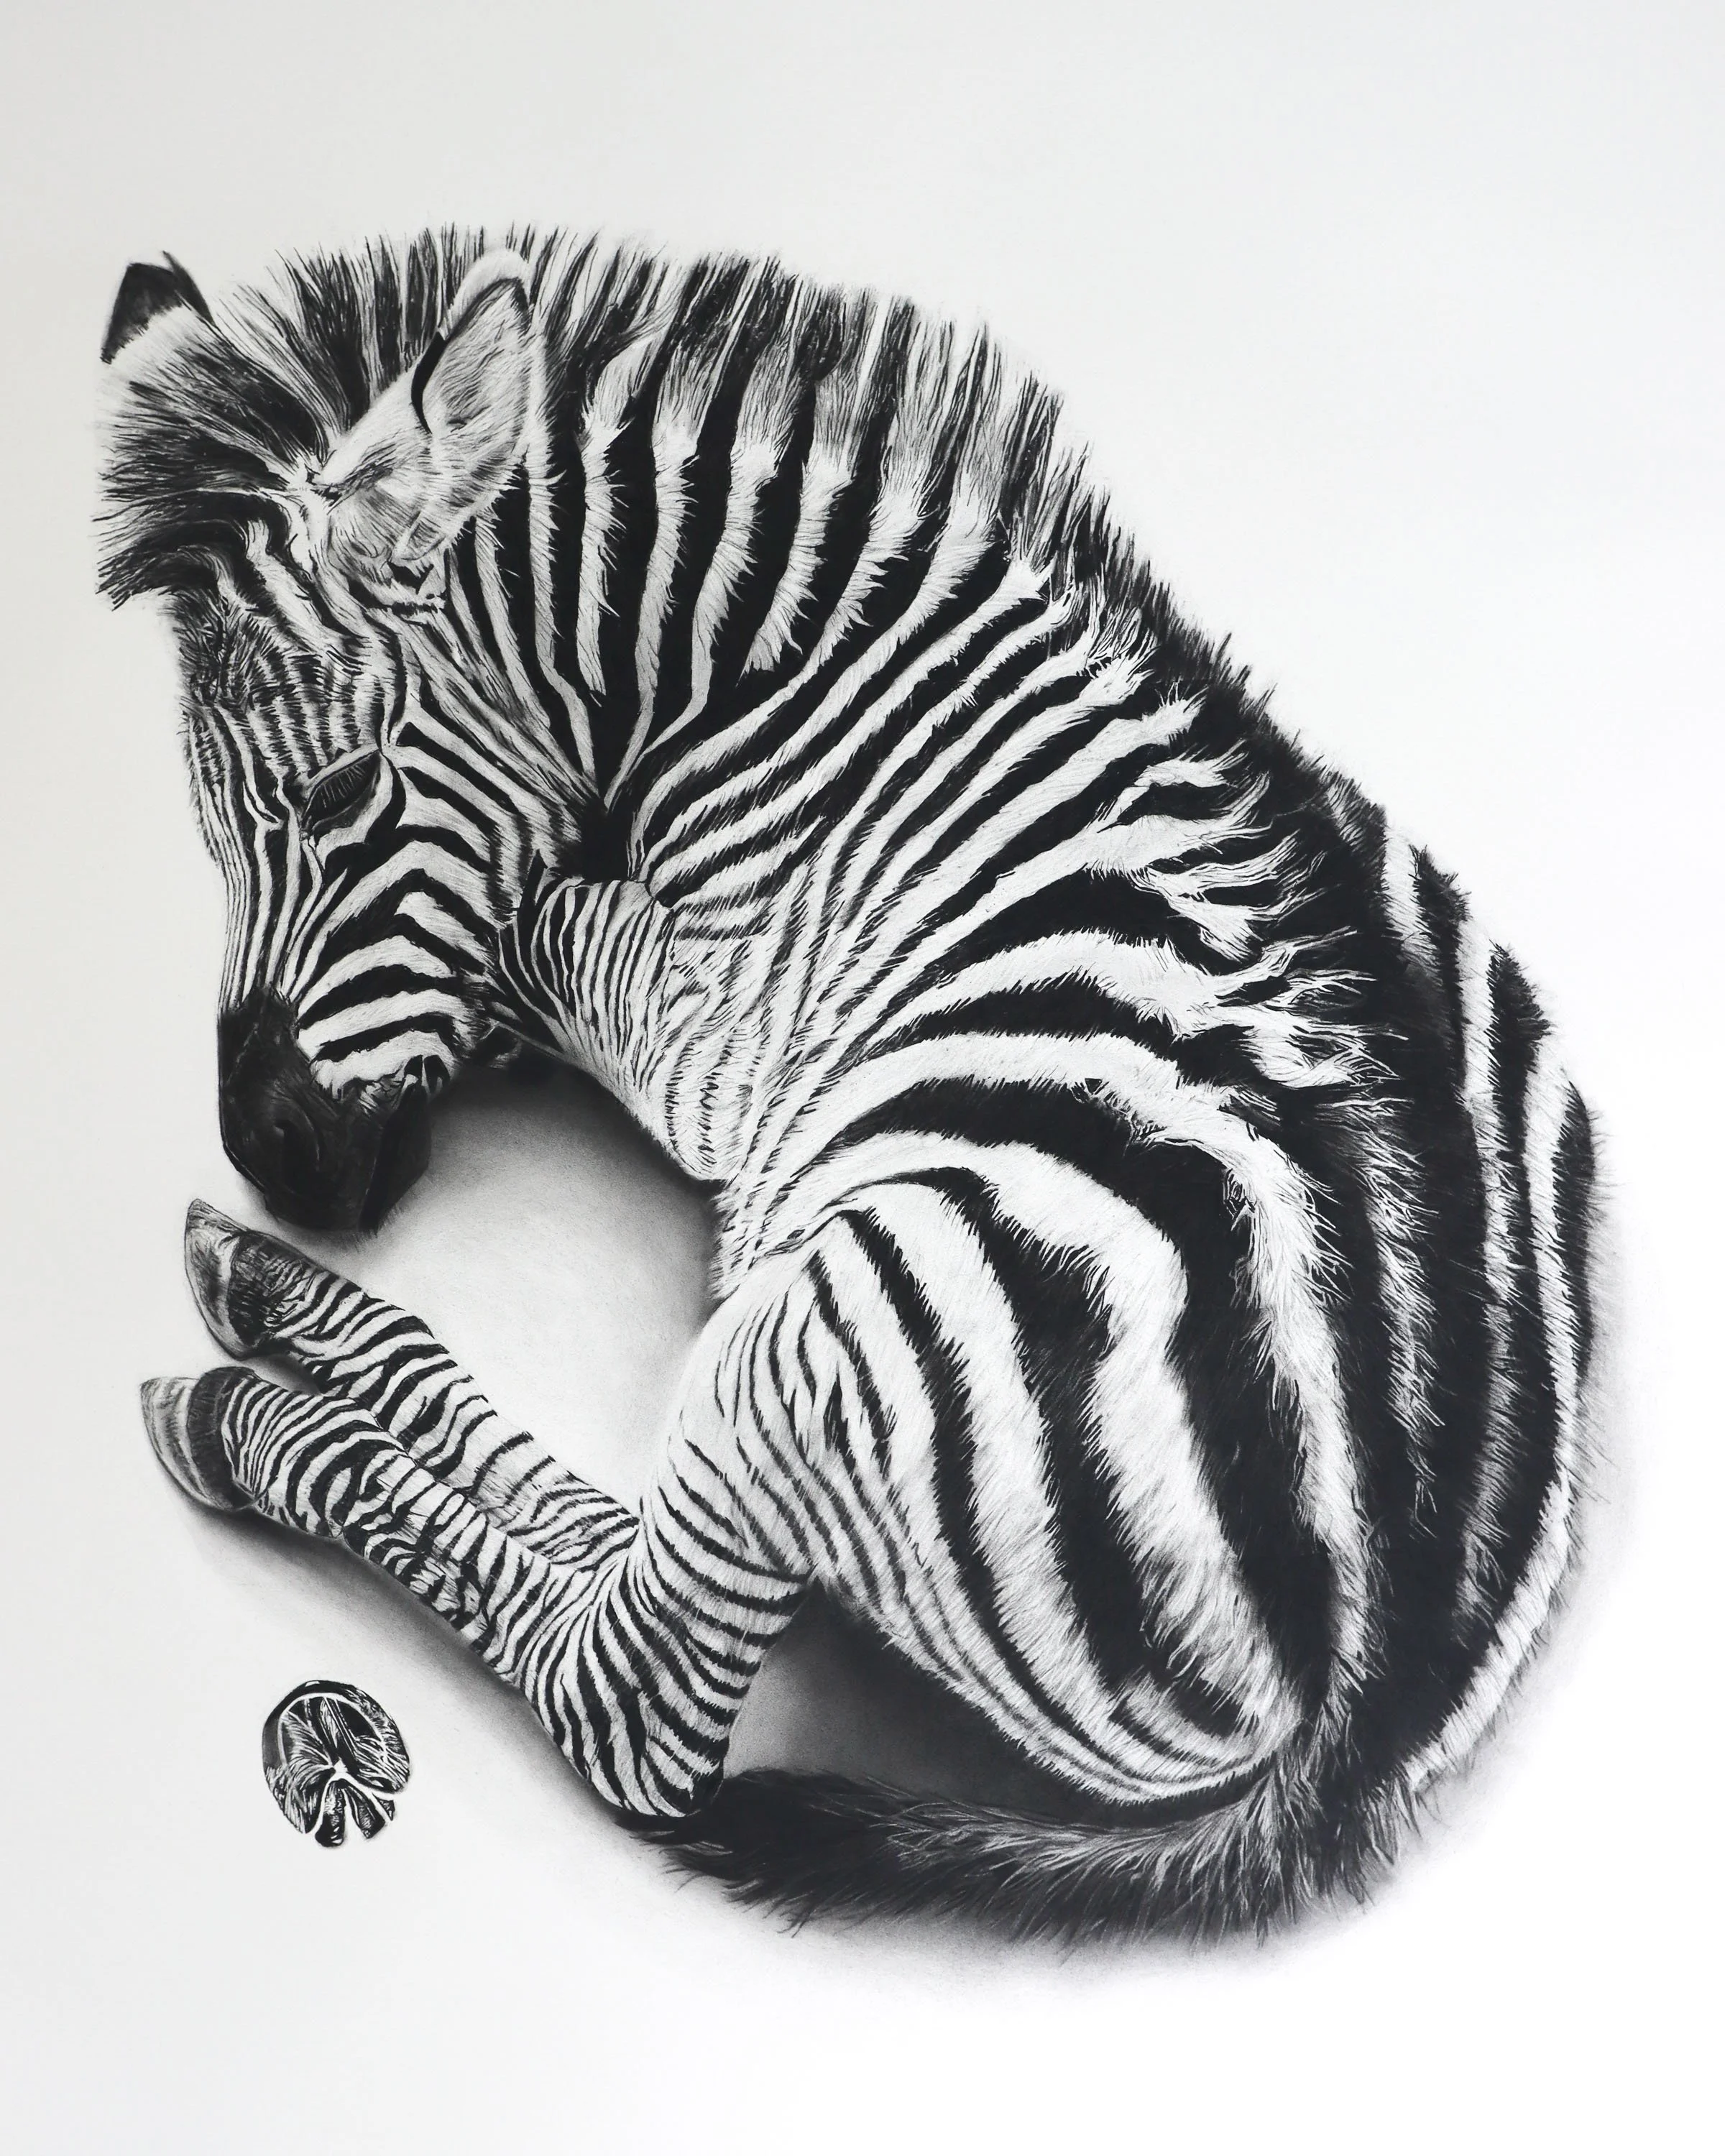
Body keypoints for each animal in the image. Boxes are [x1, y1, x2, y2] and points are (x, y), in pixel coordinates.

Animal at [98, 230, 1596, 1941]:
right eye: (206, 828)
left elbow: (539, 930)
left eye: (345, 794)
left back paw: (242, 1399)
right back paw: (272, 1306)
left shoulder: (709, 1028)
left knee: (632, 1692)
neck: (764, 678)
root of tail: (1392, 1678)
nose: (269, 1158)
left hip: (822, 1325)